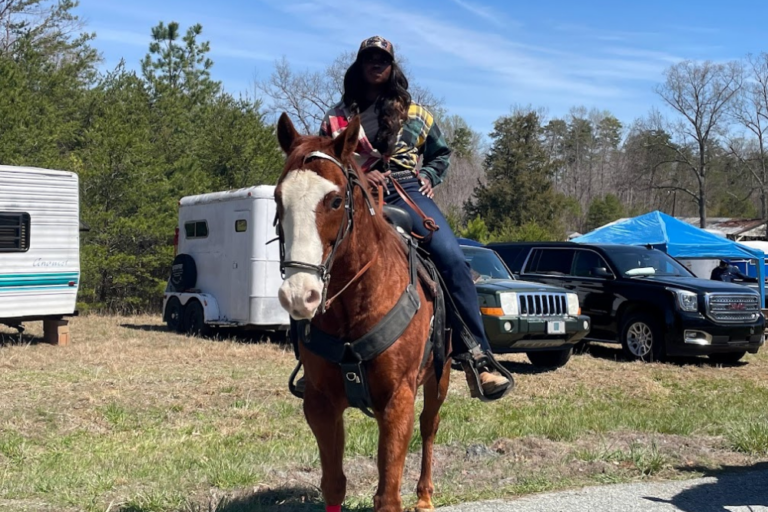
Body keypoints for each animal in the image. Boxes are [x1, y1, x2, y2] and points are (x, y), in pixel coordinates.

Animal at [274, 112, 452, 512]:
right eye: (278, 199)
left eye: (336, 200)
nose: (300, 295)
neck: (351, 305)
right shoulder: (320, 403)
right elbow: (333, 485)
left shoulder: (398, 400)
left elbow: (387, 495)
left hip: (441, 376)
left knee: (429, 426)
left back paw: (425, 495)